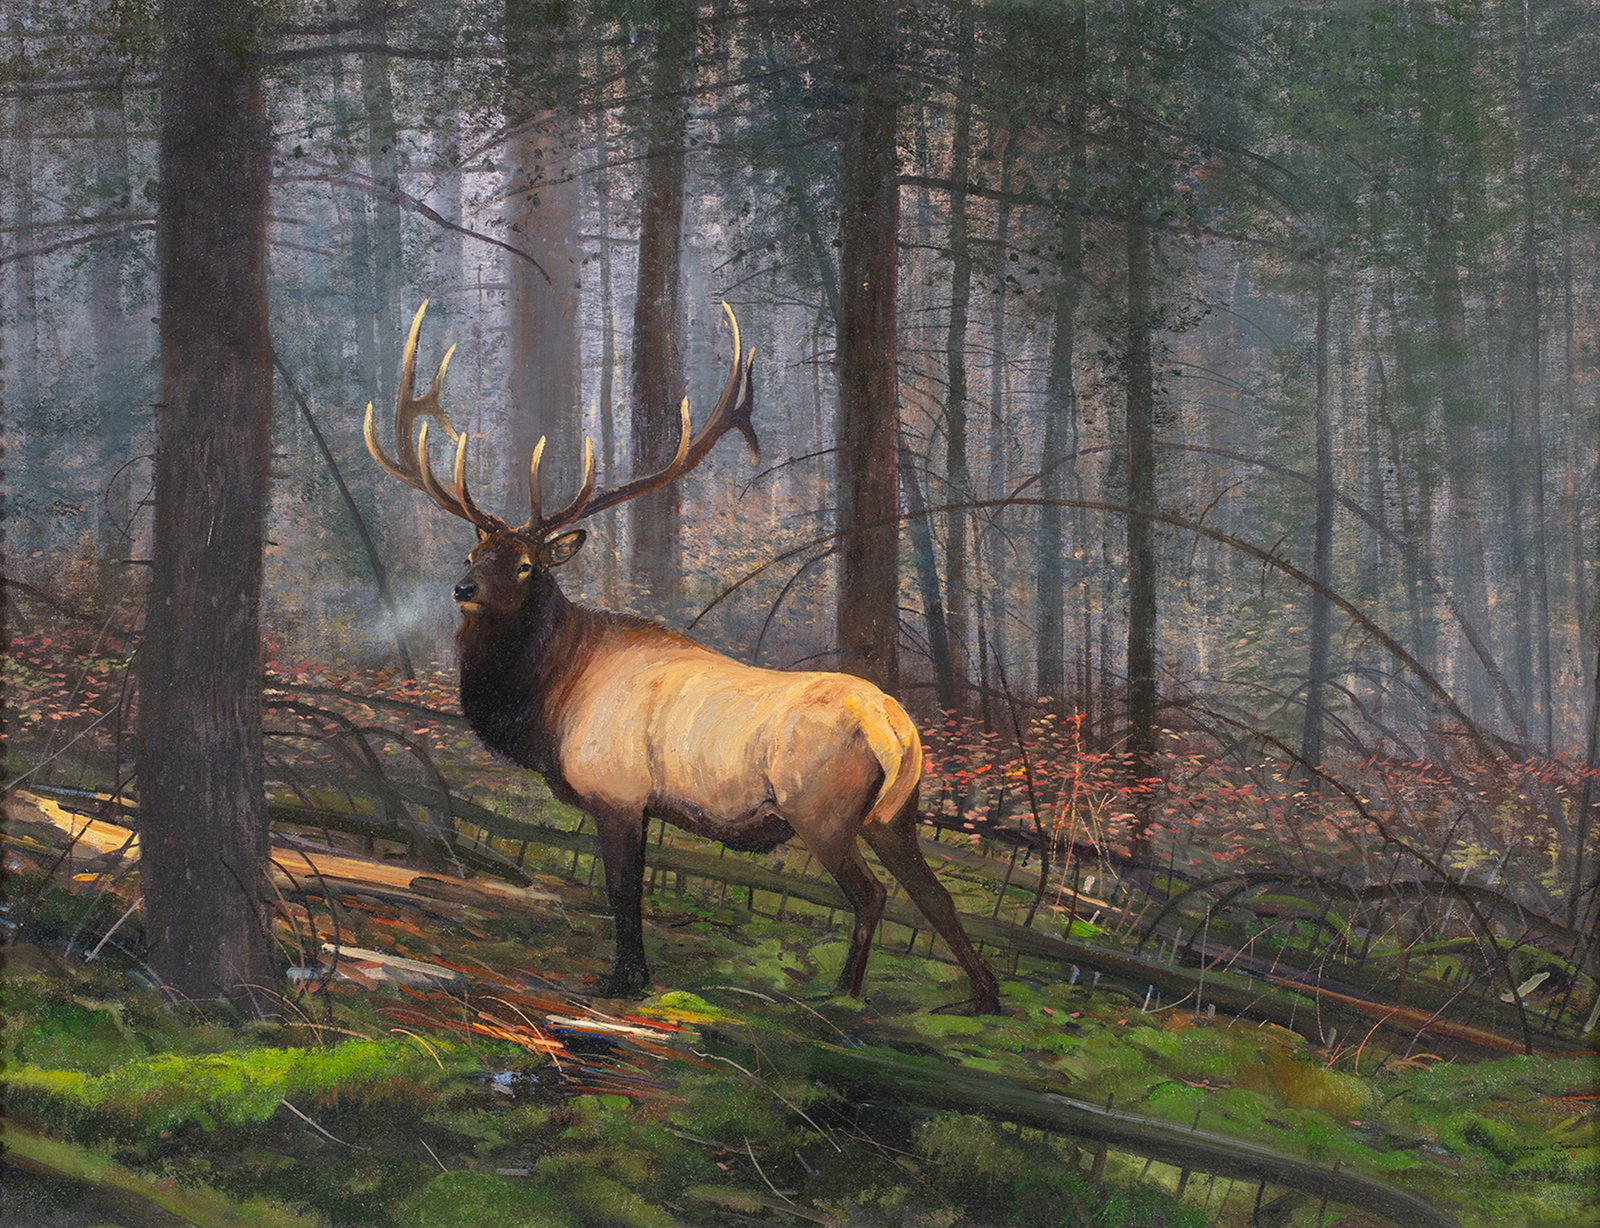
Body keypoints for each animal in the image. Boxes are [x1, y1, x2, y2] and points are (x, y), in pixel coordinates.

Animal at [364, 301, 1000, 1014]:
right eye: (473, 553)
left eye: (527, 564)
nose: (463, 589)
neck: (547, 705)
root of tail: (895, 726)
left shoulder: (615, 790)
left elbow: (623, 891)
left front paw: (624, 979)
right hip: (897, 812)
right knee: (936, 897)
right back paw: (982, 997)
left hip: (823, 809)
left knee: (872, 895)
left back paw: (843, 993)